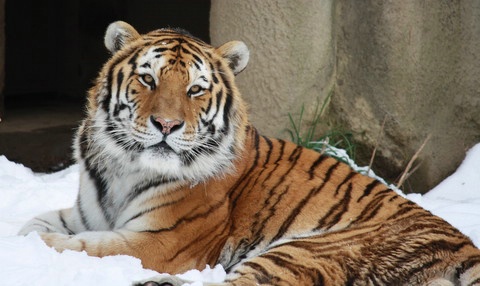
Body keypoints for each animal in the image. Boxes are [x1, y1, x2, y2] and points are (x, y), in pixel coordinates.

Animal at [18, 21, 480, 284]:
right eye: (148, 80)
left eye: (195, 90)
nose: (166, 125)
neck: (123, 166)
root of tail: (465, 248)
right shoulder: (87, 213)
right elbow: (35, 224)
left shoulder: (160, 242)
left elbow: (83, 247)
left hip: (297, 252)